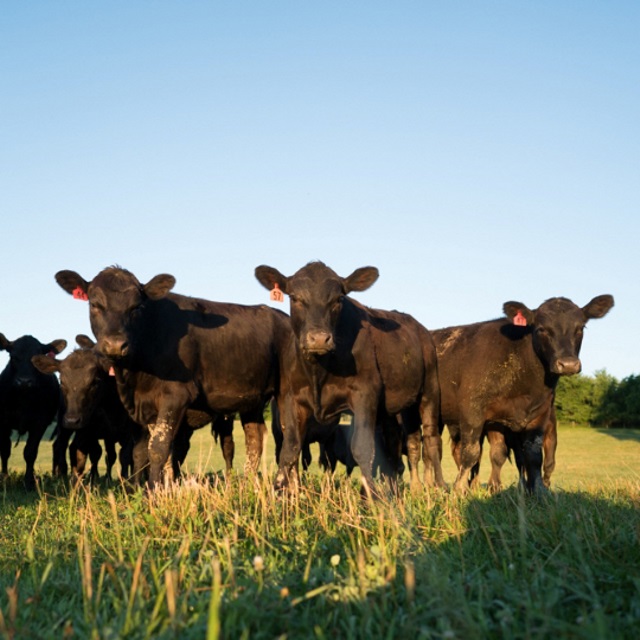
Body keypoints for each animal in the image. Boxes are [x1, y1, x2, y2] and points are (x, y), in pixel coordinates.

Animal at [0, 336, 67, 484]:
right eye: (13, 357)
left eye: (37, 359)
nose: (24, 381)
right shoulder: (3, 423)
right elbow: (5, 450)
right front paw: (5, 478)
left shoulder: (40, 423)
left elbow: (30, 452)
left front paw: (28, 481)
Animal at [55, 268, 290, 488]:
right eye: (94, 304)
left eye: (136, 307)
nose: (115, 345)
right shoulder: (149, 407)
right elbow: (160, 453)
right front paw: (165, 489)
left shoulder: (175, 396)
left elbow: (158, 449)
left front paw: (152, 492)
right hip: (251, 401)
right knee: (255, 438)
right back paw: (247, 486)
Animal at [255, 262, 444, 492]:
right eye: (295, 298)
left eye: (338, 299)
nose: (319, 338)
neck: (319, 371)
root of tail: (421, 329)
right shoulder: (292, 397)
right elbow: (290, 449)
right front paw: (279, 493)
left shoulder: (364, 394)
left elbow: (362, 447)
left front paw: (370, 496)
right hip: (393, 408)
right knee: (394, 443)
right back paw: (395, 489)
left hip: (430, 390)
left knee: (432, 438)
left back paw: (440, 486)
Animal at [432, 296, 612, 496]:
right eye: (541, 328)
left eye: (581, 327)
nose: (568, 364)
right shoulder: (472, 411)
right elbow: (471, 453)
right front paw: (459, 490)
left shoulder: (538, 415)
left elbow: (532, 457)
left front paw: (538, 491)